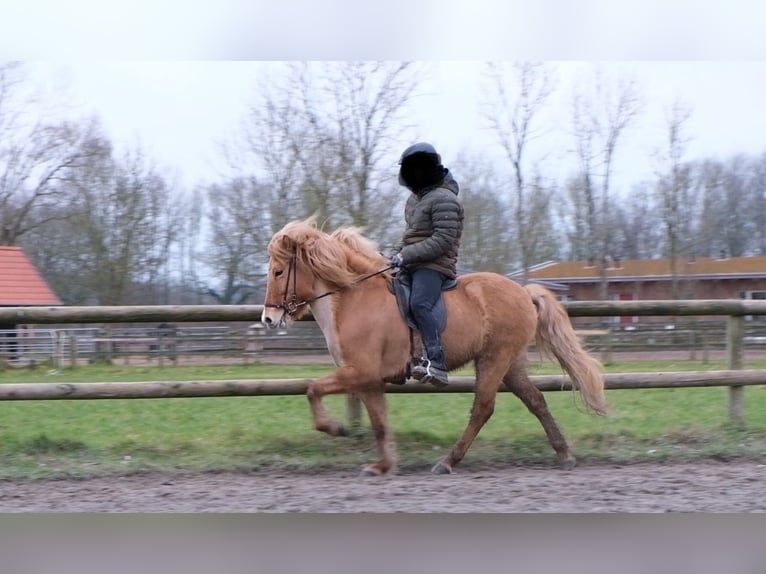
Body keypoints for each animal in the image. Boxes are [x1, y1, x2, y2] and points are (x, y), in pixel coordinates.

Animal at [260, 218, 608, 480]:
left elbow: (313, 389)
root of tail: (523, 291)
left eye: (279, 271)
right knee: (535, 401)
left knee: (483, 408)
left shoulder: (359, 371)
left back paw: (447, 462)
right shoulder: (368, 379)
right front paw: (383, 466)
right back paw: (564, 454)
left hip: (494, 359)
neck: (353, 298)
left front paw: (334, 428)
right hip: (510, 363)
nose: (268, 318)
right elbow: (379, 422)